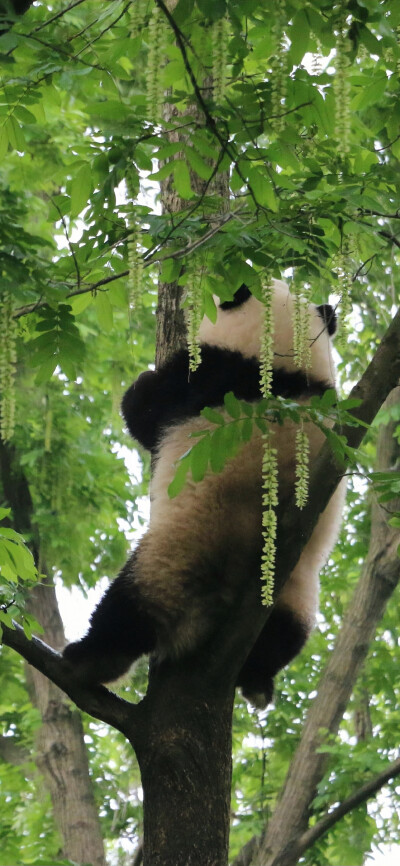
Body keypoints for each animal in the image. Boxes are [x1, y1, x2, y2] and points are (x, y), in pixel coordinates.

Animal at [63, 280, 344, 704]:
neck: (285, 363)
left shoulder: (209, 375)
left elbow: (145, 411)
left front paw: (139, 386)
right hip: (296, 587)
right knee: (285, 636)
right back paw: (257, 680)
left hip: (179, 553)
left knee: (129, 609)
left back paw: (90, 659)